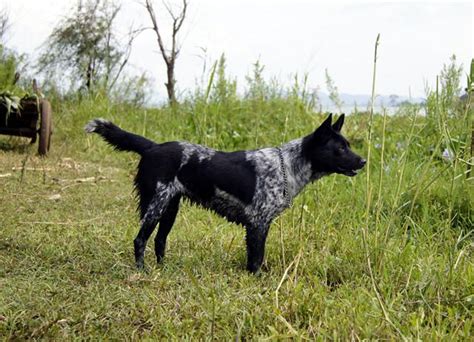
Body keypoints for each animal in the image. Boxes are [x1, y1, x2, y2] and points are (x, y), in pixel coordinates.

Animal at [85, 114, 366, 272]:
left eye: (348, 145)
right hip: (156, 206)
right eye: (340, 148)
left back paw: (163, 269)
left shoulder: (259, 225)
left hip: (170, 208)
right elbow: (255, 260)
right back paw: (142, 272)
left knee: (159, 241)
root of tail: (153, 147)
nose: (363, 161)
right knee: (140, 240)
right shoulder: (258, 224)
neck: (286, 165)